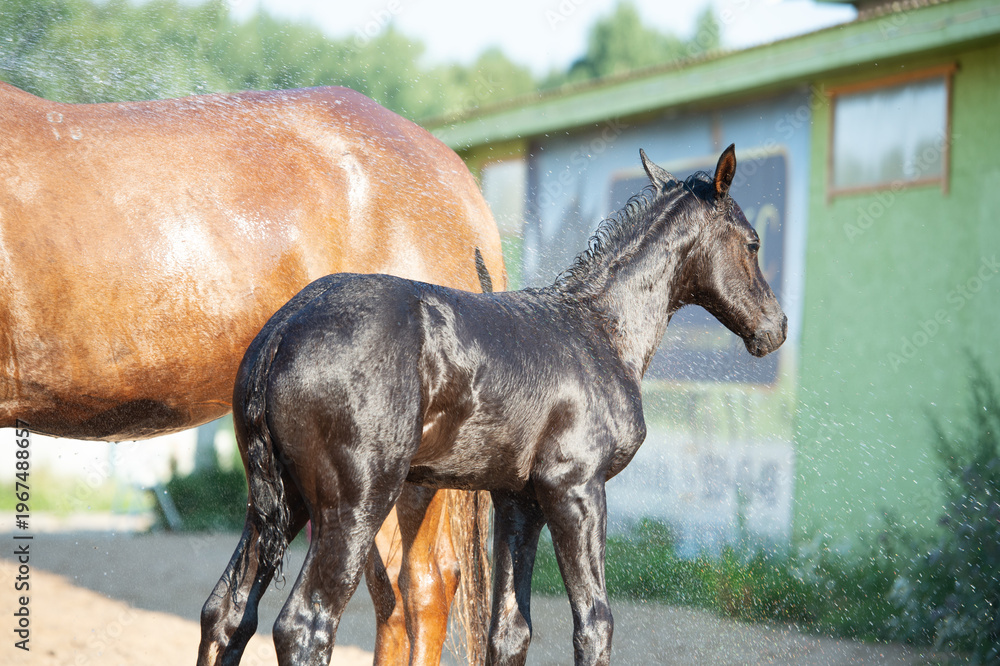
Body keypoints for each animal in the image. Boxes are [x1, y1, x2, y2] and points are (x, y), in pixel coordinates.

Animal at [199, 144, 787, 666]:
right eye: (754, 242)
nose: (775, 328)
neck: (598, 329)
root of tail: (284, 327)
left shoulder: (517, 501)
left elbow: (509, 630)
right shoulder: (575, 489)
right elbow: (594, 623)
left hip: (282, 503)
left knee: (228, 612)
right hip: (355, 504)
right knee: (305, 624)